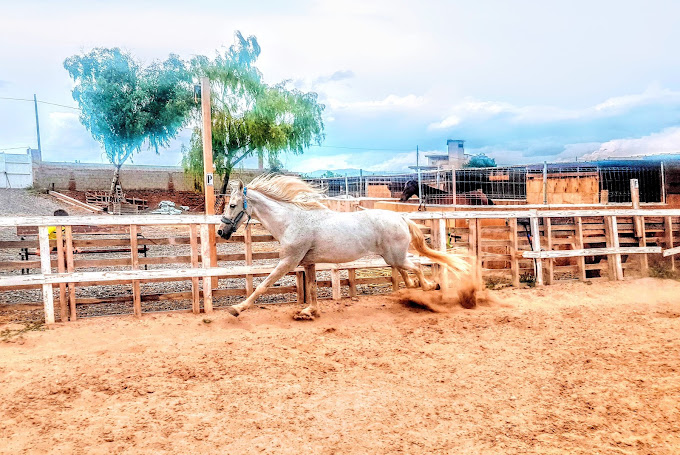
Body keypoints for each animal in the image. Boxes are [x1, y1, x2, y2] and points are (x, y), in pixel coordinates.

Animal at [219, 175, 472, 320]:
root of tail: (401, 217)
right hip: (391, 257)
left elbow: (263, 285)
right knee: (407, 271)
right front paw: (310, 312)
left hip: (395, 256)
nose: (222, 232)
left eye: (232, 205)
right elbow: (311, 288)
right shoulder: (308, 263)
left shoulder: (288, 262)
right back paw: (414, 290)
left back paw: (430, 286)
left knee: (417, 268)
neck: (293, 220)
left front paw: (237, 309)